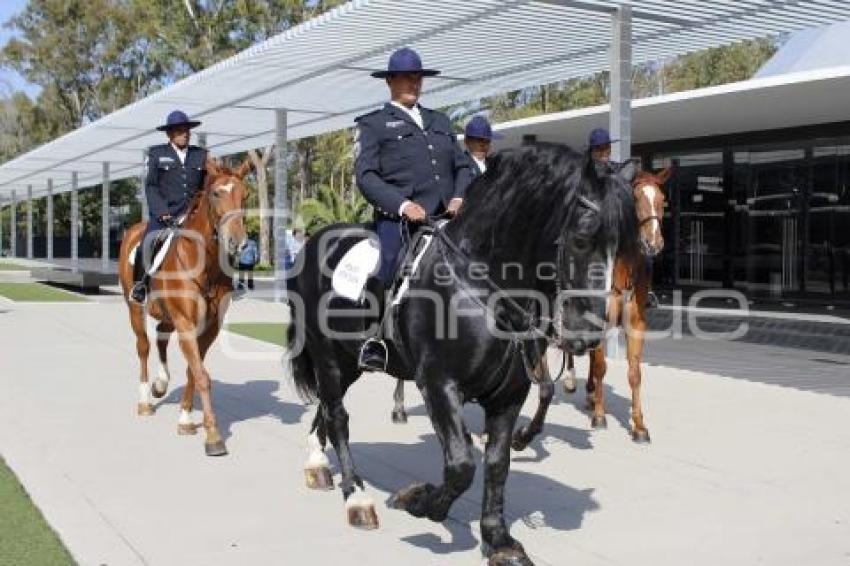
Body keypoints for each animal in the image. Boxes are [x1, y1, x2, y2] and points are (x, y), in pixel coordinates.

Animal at [118, 159, 252, 458]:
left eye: (246, 195)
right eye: (216, 193)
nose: (237, 242)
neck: (205, 264)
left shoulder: (209, 327)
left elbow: (194, 369)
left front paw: (186, 419)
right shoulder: (185, 322)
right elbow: (201, 374)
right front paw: (213, 436)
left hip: (168, 316)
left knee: (161, 335)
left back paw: (161, 383)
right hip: (135, 308)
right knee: (143, 346)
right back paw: (145, 400)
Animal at [284, 143, 636, 566]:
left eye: (622, 245)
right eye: (582, 238)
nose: (587, 335)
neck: (484, 282)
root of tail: (315, 241)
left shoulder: (509, 394)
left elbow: (497, 464)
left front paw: (499, 539)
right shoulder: (438, 384)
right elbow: (461, 465)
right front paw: (418, 501)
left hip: (351, 361)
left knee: (326, 407)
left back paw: (317, 465)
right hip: (327, 357)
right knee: (337, 415)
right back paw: (357, 498)